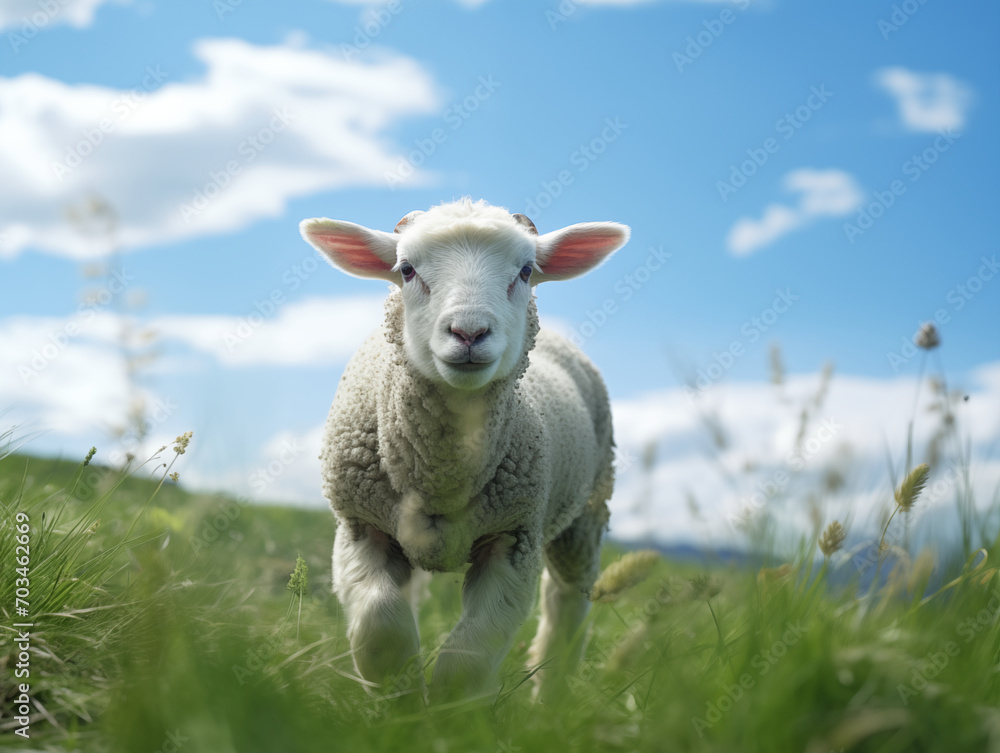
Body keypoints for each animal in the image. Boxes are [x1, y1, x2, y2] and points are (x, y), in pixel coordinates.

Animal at [300, 199, 630, 702]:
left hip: (586, 514)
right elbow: (381, 628)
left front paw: (449, 713)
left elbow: (468, 659)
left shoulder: (514, 538)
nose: (469, 333)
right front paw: (402, 704)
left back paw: (550, 699)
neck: (441, 475)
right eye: (407, 269)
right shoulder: (360, 524)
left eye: (526, 271)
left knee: (567, 605)